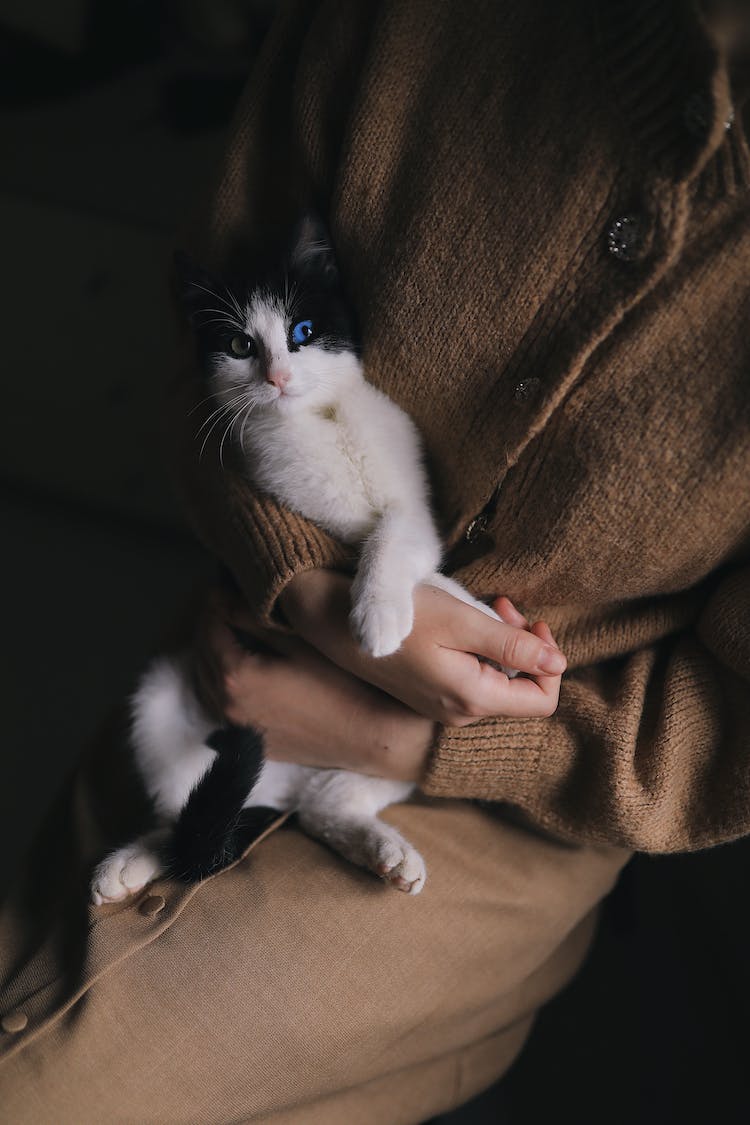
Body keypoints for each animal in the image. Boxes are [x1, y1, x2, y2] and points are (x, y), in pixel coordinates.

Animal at [91, 214, 508, 904]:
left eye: (303, 332)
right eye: (240, 345)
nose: (277, 377)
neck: (322, 420)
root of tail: (280, 787)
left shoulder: (409, 502)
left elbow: (403, 537)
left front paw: (445, 615)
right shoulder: (296, 500)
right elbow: (395, 557)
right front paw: (396, 616)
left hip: (391, 758)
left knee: (325, 809)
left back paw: (386, 852)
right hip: (160, 697)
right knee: (184, 820)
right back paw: (126, 865)